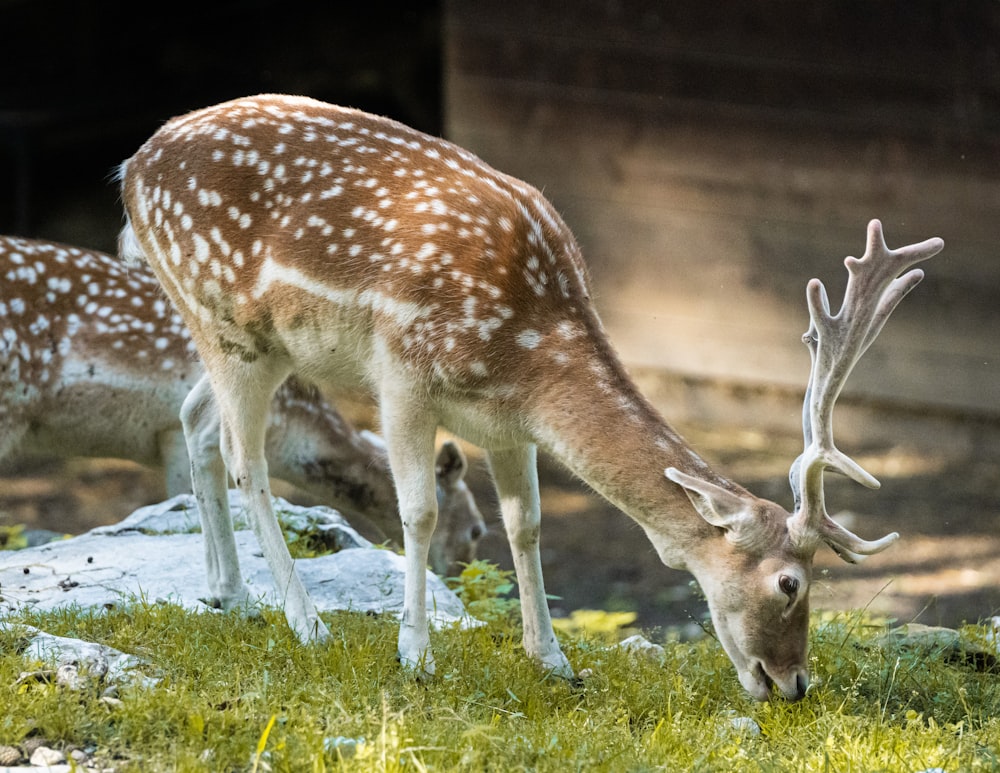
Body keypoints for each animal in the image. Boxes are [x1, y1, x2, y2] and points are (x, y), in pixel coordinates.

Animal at [119, 95, 944, 700]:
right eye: (789, 582)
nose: (794, 682)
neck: (528, 348)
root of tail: (131, 168)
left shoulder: (506, 421)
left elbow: (527, 524)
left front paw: (551, 659)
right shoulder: (403, 372)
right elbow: (419, 512)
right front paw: (415, 653)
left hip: (253, 342)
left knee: (195, 422)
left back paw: (230, 593)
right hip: (225, 321)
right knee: (244, 457)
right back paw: (305, 621)